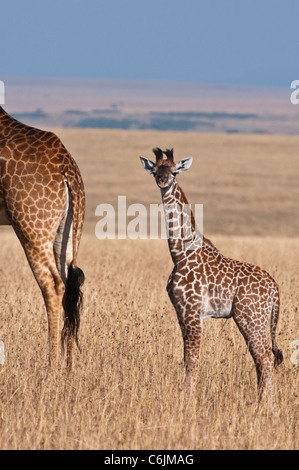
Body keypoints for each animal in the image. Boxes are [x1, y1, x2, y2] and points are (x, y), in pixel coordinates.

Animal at [0, 105, 84, 368]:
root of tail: (68, 170)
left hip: (32, 227)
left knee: (53, 284)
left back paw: (52, 367)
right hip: (66, 231)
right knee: (70, 284)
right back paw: (68, 367)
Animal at [141, 149, 284, 402]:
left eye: (175, 171)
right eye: (155, 171)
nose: (163, 181)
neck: (180, 254)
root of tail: (275, 288)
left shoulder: (193, 312)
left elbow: (192, 360)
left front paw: (188, 402)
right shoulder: (181, 313)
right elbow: (186, 358)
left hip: (251, 318)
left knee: (265, 357)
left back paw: (267, 406)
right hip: (253, 320)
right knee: (259, 358)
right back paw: (260, 403)